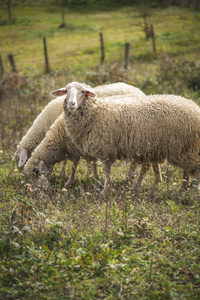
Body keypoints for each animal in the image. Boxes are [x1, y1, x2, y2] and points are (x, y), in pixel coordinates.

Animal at [52, 82, 200, 195]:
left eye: (83, 91)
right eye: (66, 91)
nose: (71, 104)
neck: (95, 111)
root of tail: (195, 107)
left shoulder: (105, 149)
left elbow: (106, 170)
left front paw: (105, 191)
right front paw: (100, 187)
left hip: (186, 148)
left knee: (194, 169)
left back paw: (191, 193)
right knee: (187, 170)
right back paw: (181, 190)